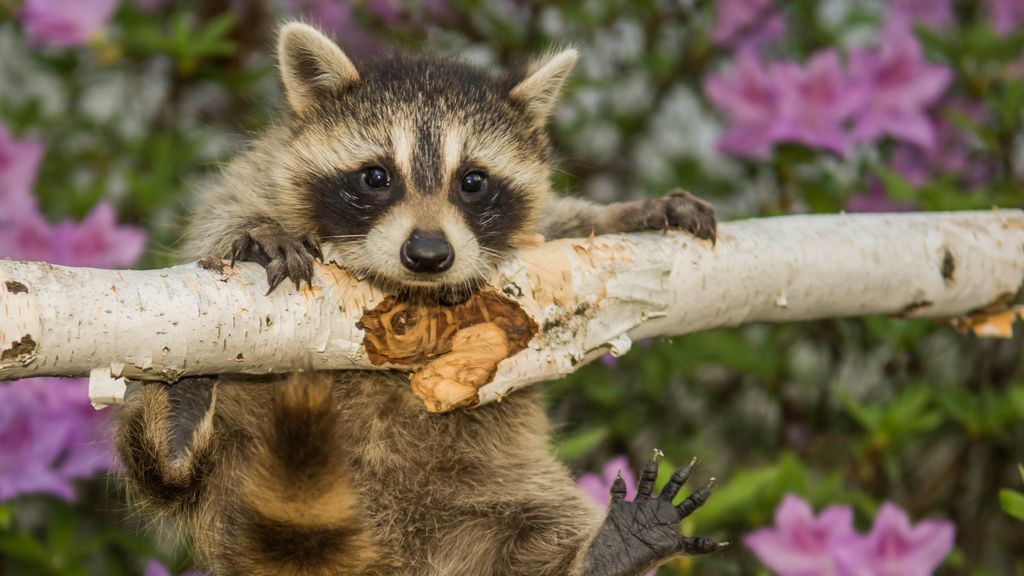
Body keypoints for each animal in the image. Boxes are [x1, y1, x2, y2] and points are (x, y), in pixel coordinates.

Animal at [117, 23, 721, 576]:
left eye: (473, 181)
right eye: (376, 176)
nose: (429, 254)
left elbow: (564, 224)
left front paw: (628, 210)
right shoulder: (259, 173)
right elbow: (222, 219)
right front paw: (258, 232)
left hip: (501, 491)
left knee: (540, 527)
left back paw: (612, 549)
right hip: (232, 464)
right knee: (164, 472)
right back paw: (178, 425)